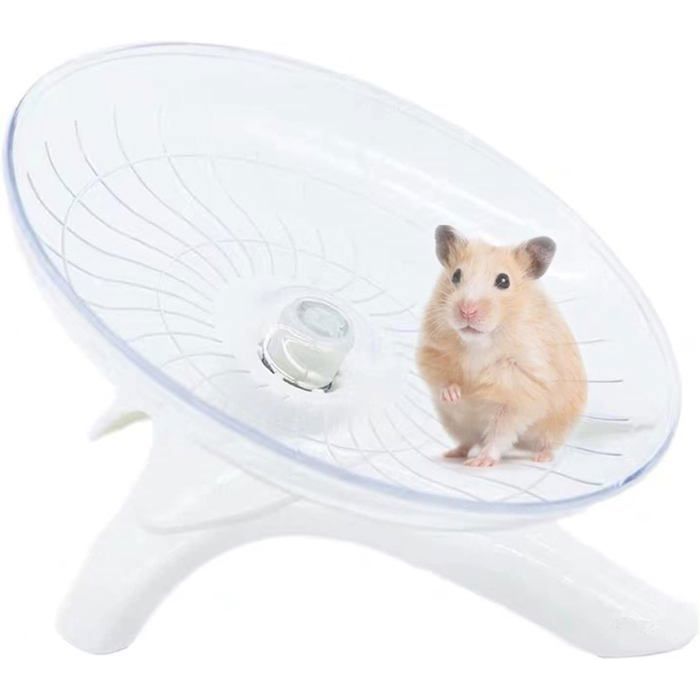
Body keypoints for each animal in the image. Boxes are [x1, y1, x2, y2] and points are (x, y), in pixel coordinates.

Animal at [416, 225, 586, 467]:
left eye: (504, 281)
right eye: (456, 275)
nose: (467, 310)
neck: (479, 342)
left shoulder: (522, 387)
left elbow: (500, 431)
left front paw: (481, 462)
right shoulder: (433, 350)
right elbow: (443, 379)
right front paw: (456, 394)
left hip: (554, 428)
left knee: (543, 444)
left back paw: (539, 458)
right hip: (456, 424)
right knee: (468, 441)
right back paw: (452, 453)